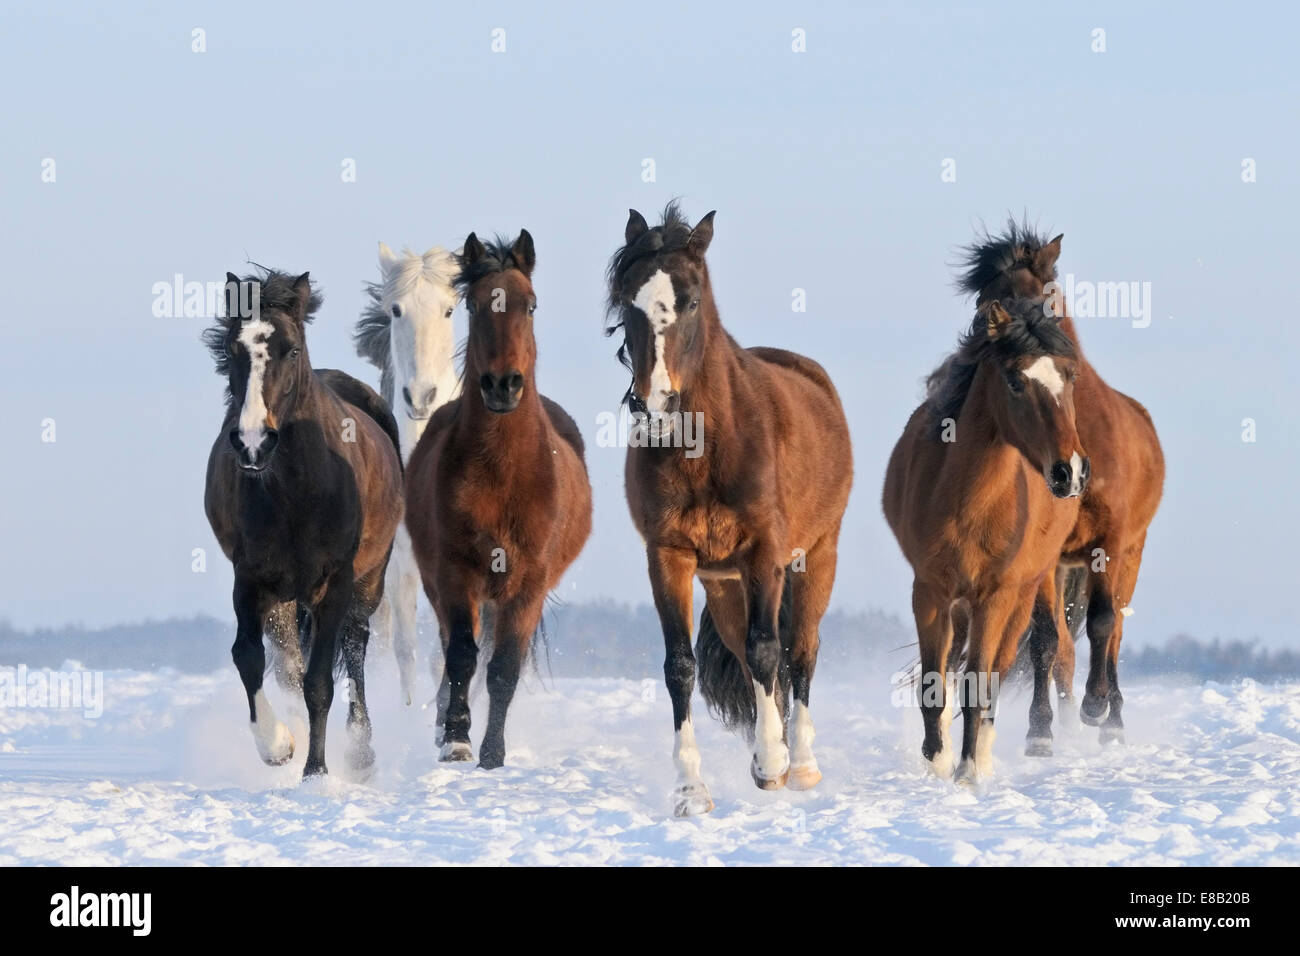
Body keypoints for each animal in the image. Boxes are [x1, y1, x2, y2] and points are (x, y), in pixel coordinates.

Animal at [203, 268, 404, 777]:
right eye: (232, 351)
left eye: (290, 349)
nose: (253, 442)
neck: (295, 491)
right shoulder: (251, 578)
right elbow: (250, 658)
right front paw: (277, 746)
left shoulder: (336, 581)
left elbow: (320, 682)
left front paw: (316, 772)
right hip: (285, 600)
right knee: (289, 664)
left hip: (368, 582)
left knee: (354, 645)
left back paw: (361, 751)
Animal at [405, 230, 592, 769]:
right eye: (472, 304)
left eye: (530, 304)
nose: (502, 385)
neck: (502, 472)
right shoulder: (455, 575)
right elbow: (462, 657)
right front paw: (456, 739)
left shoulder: (528, 584)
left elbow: (504, 667)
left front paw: (492, 753)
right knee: (452, 648)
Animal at [605, 203, 853, 816]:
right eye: (627, 302)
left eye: (691, 300)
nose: (655, 404)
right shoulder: (669, 557)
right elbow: (681, 666)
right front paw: (691, 792)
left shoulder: (766, 552)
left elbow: (769, 652)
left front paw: (774, 764)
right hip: (724, 585)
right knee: (746, 652)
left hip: (815, 558)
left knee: (801, 651)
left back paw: (801, 763)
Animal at [882, 295, 1087, 783]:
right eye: (1015, 380)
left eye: (1070, 376)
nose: (1069, 471)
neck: (968, 502)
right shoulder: (931, 592)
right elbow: (935, 683)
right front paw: (936, 762)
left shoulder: (994, 598)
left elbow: (979, 685)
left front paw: (968, 771)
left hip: (1025, 594)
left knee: (1003, 669)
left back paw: (991, 753)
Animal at [957, 224, 1164, 748]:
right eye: (982, 302)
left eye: (1034, 299)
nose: (981, 350)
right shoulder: (1046, 558)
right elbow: (1048, 639)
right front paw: (1041, 730)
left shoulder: (1110, 541)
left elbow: (1103, 624)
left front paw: (1097, 707)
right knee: (1067, 648)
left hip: (1131, 554)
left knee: (1114, 632)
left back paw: (1110, 718)